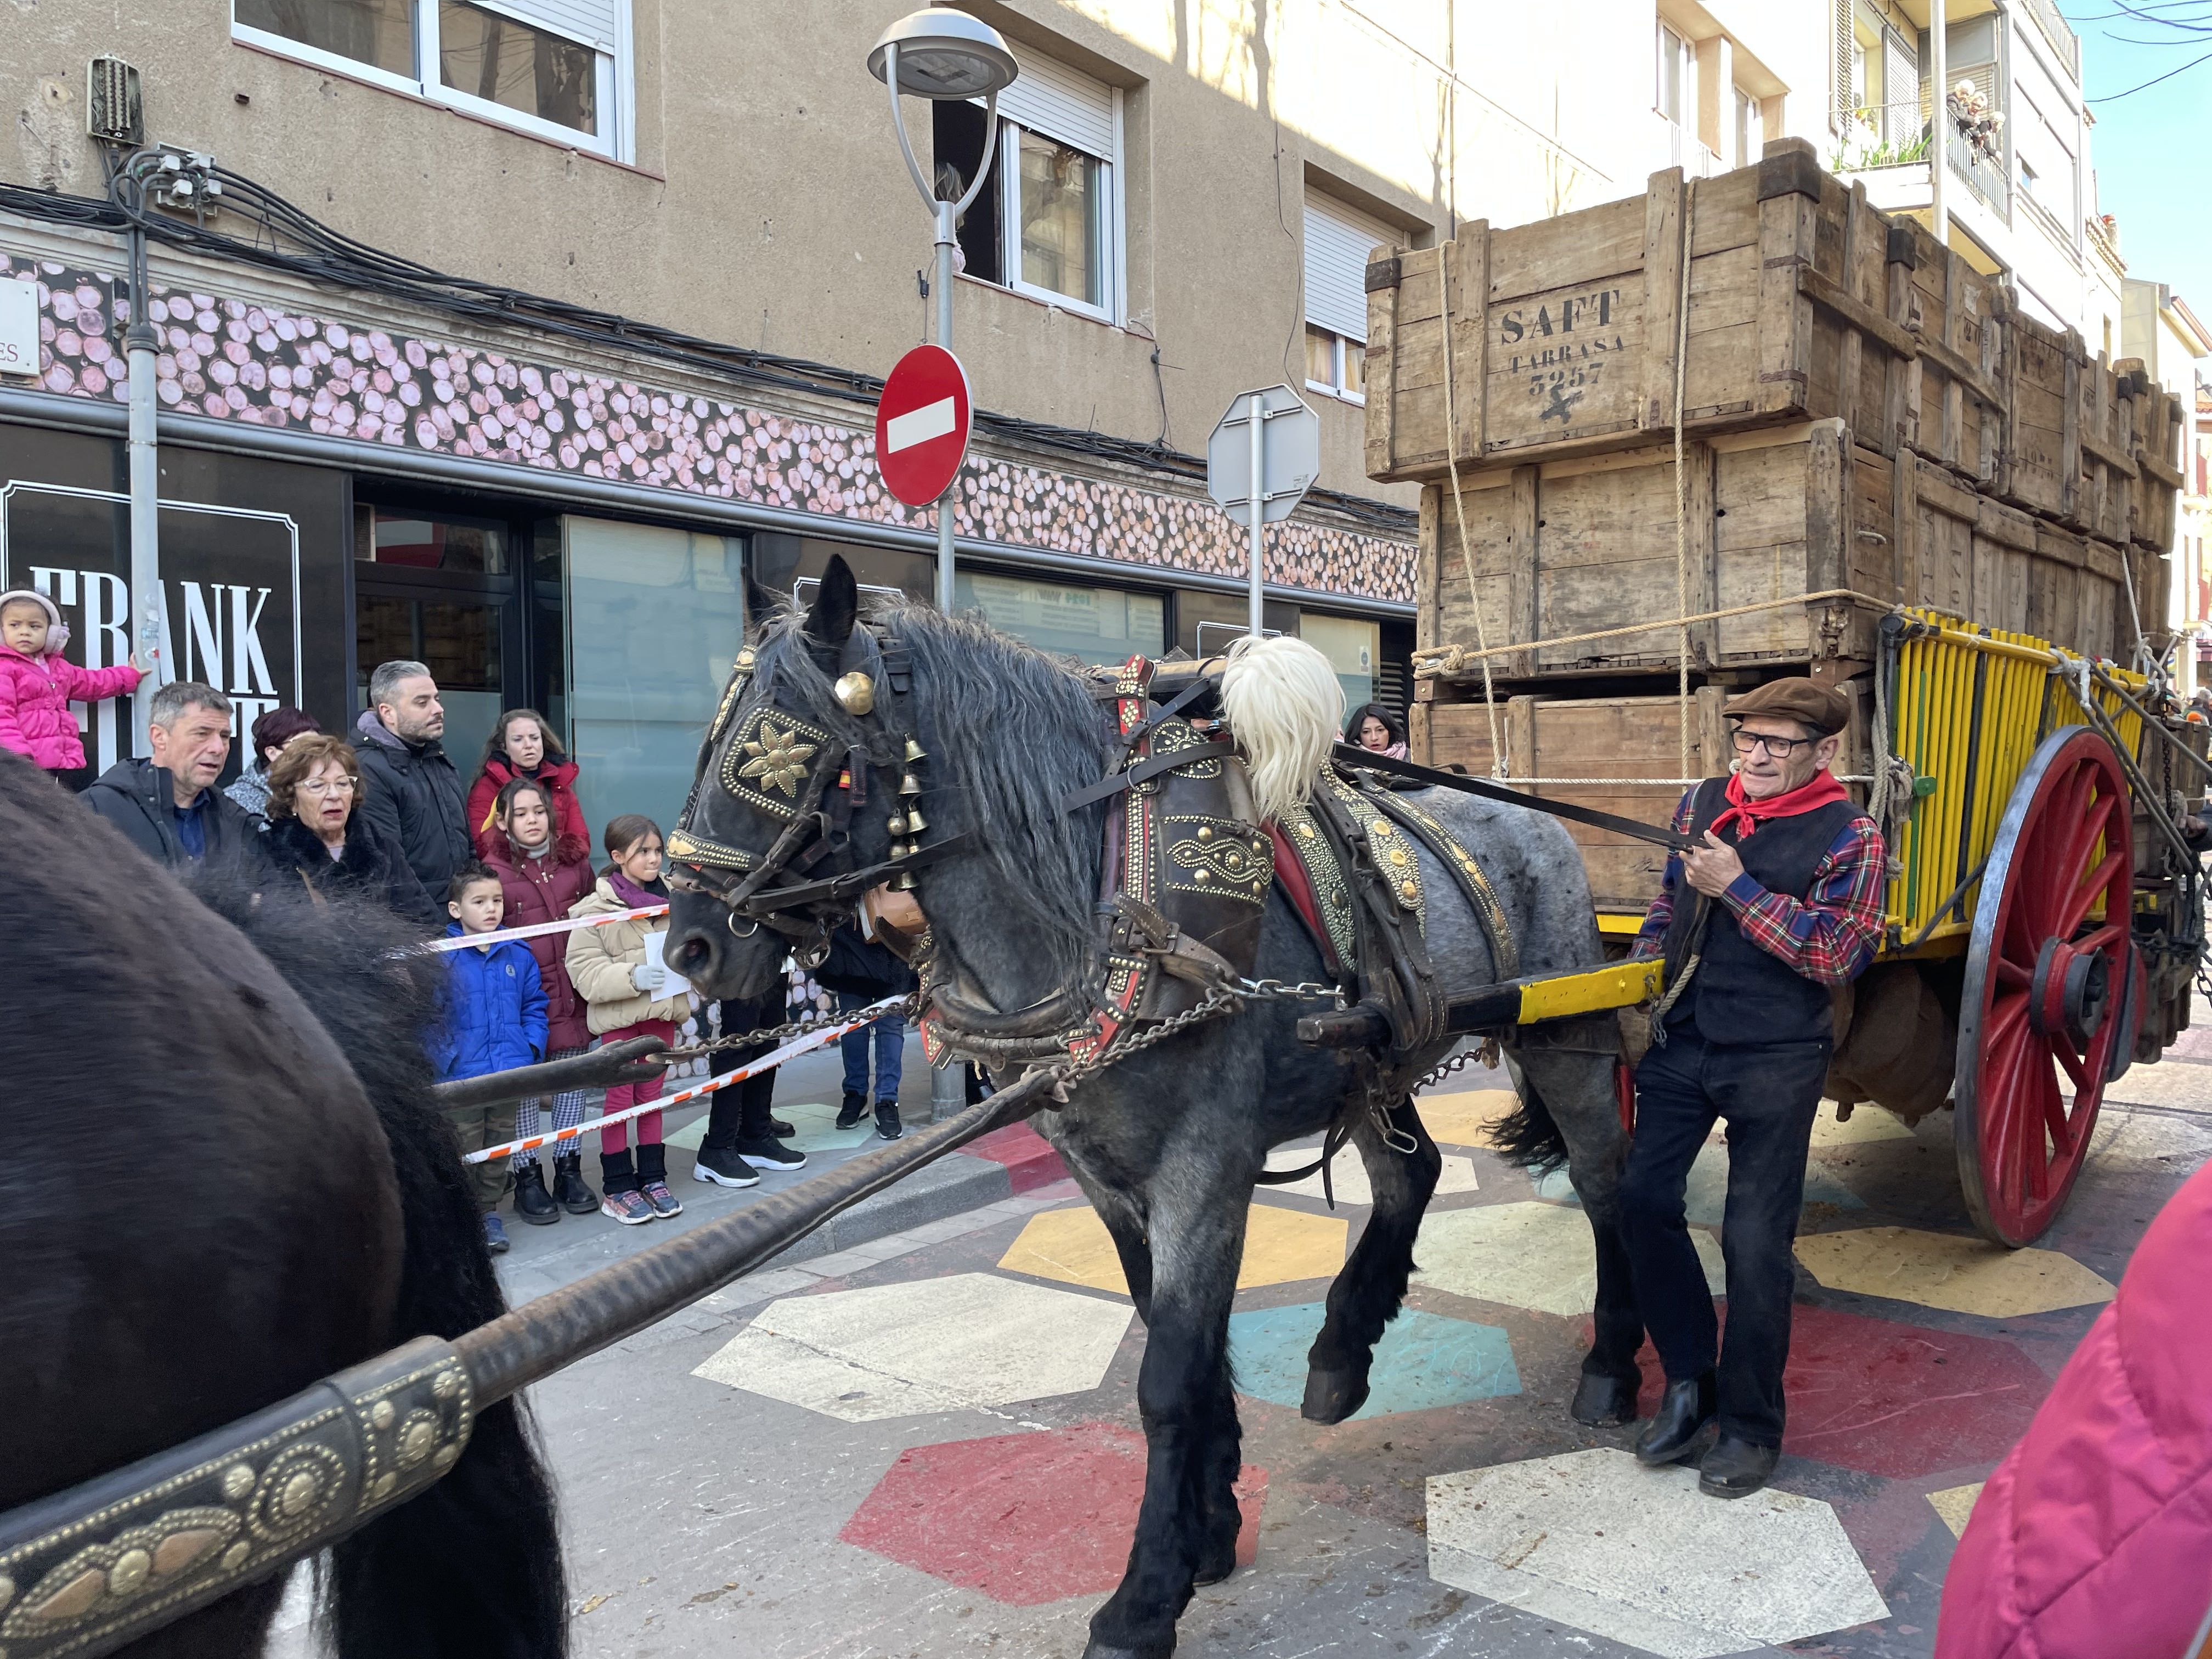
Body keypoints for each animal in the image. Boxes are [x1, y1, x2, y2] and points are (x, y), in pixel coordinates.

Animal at [663, 562, 1637, 1659]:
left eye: (780, 745)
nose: (691, 944)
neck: (1103, 913)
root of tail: (1544, 819)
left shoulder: (1201, 1170)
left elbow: (1167, 1375)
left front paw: (1141, 1598)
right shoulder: (1105, 1174)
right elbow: (1183, 1345)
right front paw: (1208, 1524)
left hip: (1566, 1035)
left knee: (1605, 1179)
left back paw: (1612, 1366)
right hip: (1372, 1062)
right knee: (1411, 1174)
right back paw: (1342, 1352)